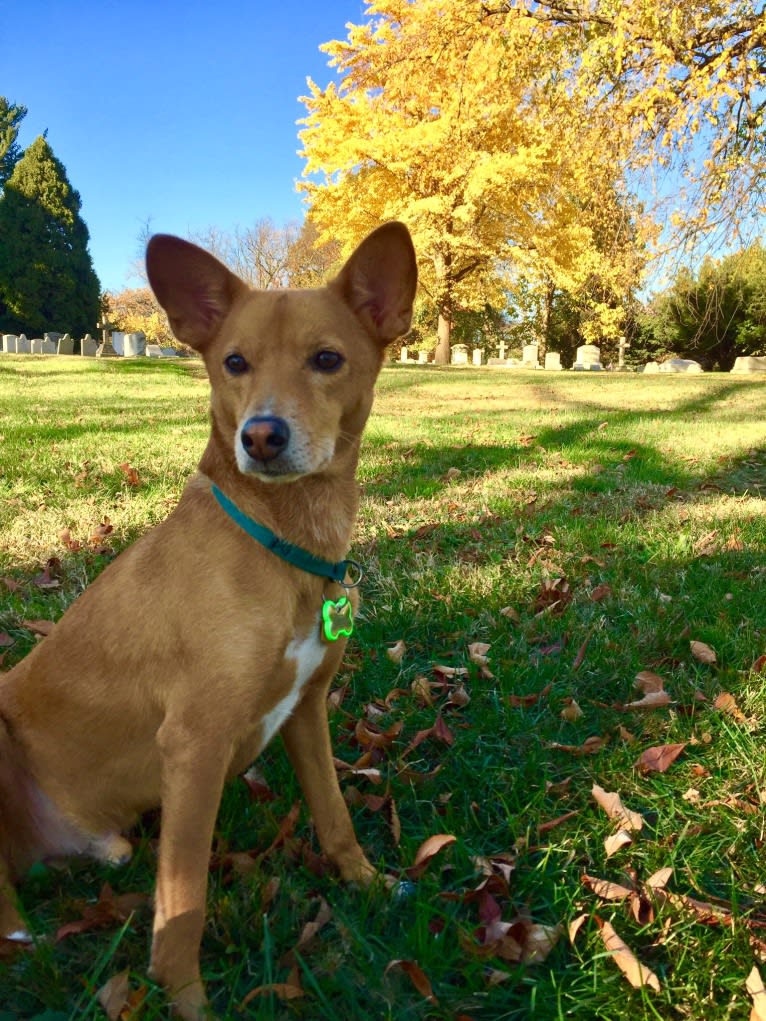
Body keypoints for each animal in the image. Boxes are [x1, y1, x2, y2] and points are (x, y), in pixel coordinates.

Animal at [0, 221, 420, 1012]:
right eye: (234, 362)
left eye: (327, 359)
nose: (261, 435)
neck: (280, 542)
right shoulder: (194, 744)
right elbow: (184, 899)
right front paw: (186, 997)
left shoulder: (306, 709)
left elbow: (335, 812)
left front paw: (367, 882)